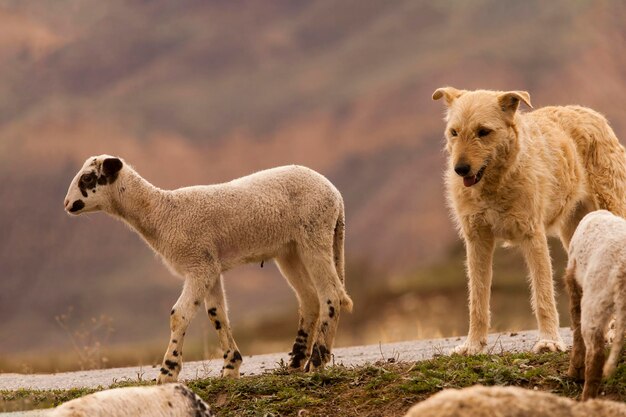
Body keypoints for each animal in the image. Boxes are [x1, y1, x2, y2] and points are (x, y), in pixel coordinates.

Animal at [66, 154, 354, 382]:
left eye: (88, 178)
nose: (67, 205)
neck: (162, 213)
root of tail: (337, 196)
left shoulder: (198, 265)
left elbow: (179, 315)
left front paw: (167, 373)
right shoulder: (210, 265)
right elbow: (217, 314)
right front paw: (230, 368)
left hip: (314, 234)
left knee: (330, 295)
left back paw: (316, 363)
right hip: (290, 250)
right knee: (309, 298)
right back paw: (295, 362)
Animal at [432, 88, 624, 354]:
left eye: (483, 132)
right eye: (454, 132)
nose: (460, 169)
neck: (496, 184)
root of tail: (592, 113)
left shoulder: (533, 235)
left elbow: (543, 295)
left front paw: (549, 341)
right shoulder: (477, 239)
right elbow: (477, 300)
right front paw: (473, 345)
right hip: (576, 233)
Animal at [560, 210, 624, 398]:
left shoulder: (572, 279)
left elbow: (575, 321)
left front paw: (574, 373)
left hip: (596, 297)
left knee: (596, 353)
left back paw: (586, 398)